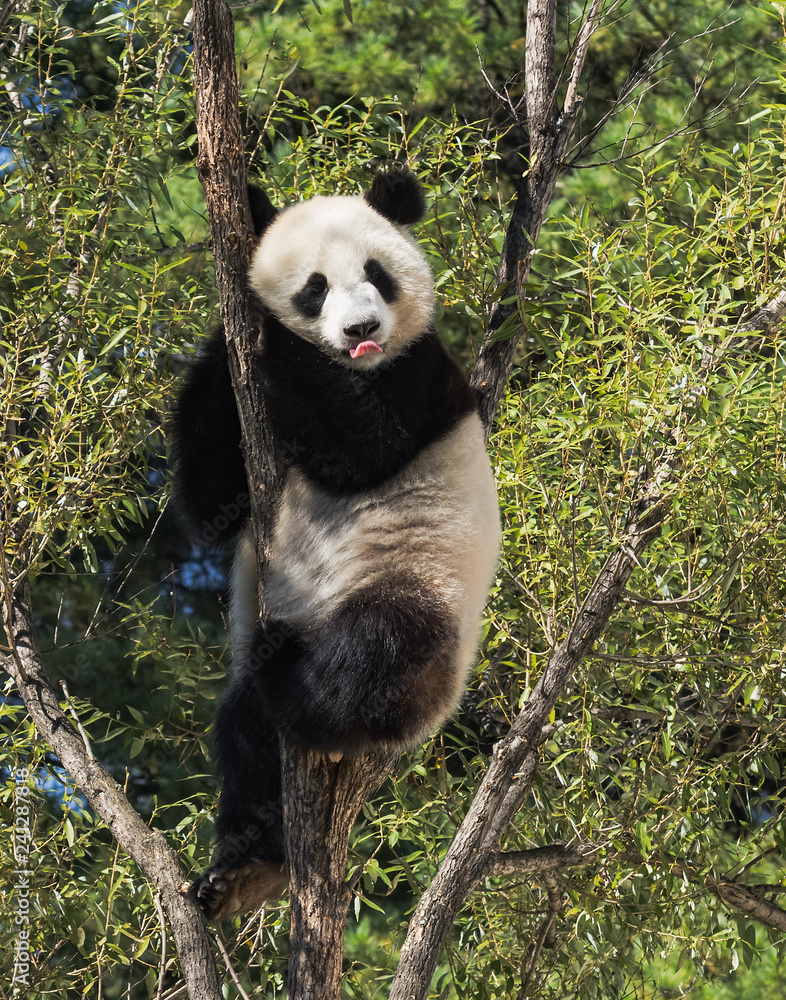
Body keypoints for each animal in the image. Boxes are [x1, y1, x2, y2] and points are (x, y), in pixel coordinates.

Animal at [173, 168, 500, 921]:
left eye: (377, 274)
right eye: (315, 287)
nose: (361, 331)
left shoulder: (423, 374)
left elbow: (364, 448)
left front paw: (266, 328)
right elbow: (210, 505)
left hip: (421, 591)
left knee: (377, 651)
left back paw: (299, 680)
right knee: (246, 741)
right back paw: (243, 869)